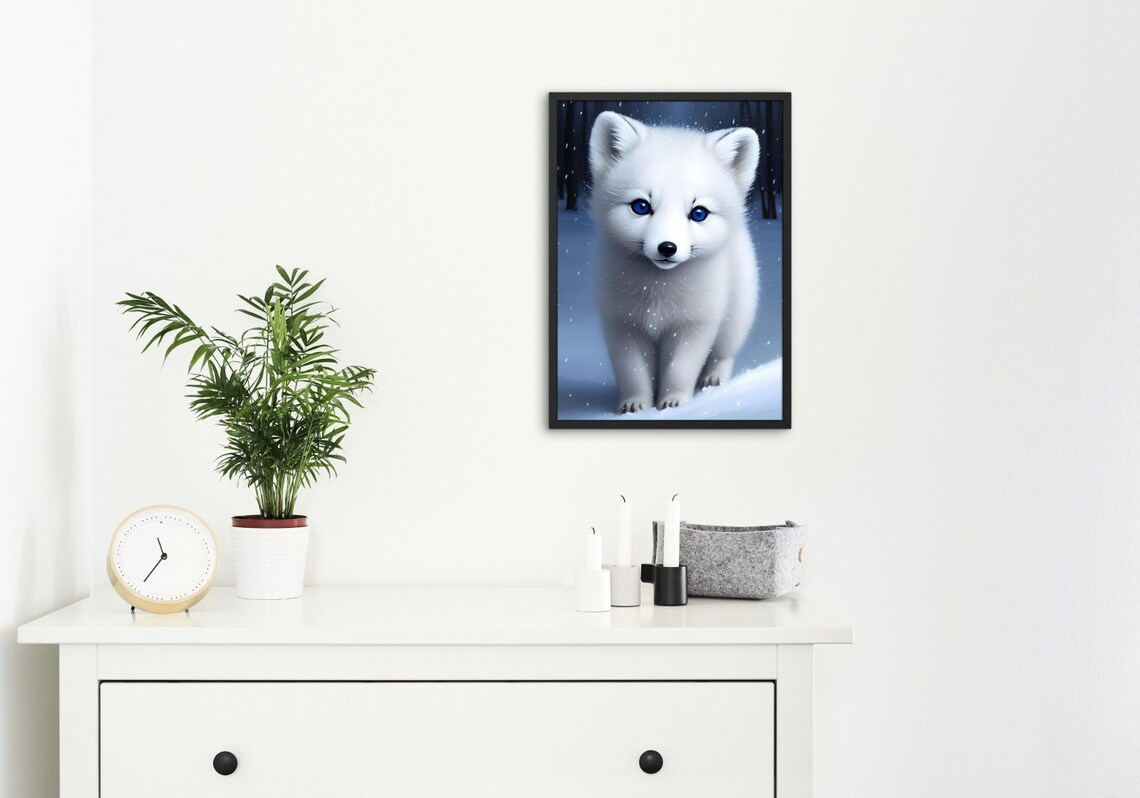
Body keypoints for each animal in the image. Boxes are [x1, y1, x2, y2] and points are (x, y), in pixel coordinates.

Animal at [589, 111, 760, 413]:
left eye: (699, 213)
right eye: (641, 206)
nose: (667, 247)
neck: (657, 293)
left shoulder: (695, 323)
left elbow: (680, 369)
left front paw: (674, 403)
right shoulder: (623, 323)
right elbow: (632, 373)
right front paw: (635, 406)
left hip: (736, 318)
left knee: (723, 354)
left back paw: (714, 380)